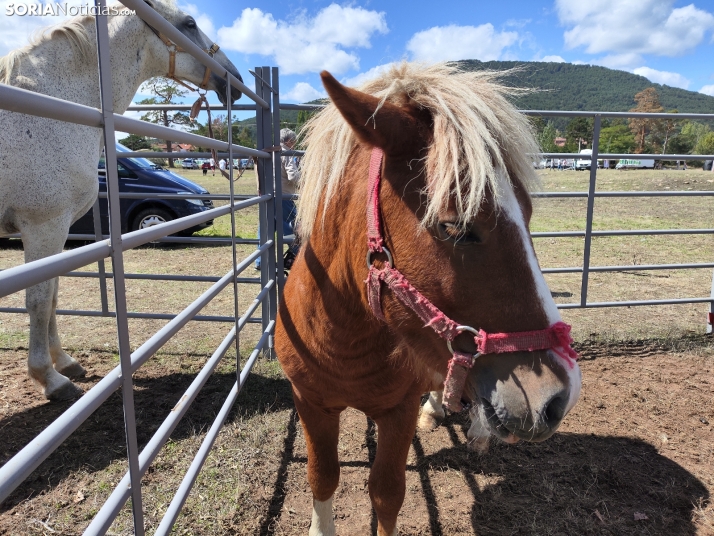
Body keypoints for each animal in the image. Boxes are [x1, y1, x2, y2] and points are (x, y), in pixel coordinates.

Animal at [0, 0, 242, 400]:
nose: (233, 79)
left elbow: (53, 295)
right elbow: (39, 299)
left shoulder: (55, 230)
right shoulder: (43, 224)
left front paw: (64, 362)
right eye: (189, 23)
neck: (49, 103)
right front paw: (49, 377)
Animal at [276, 63, 580, 536]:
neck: (342, 340)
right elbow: (321, 477)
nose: (557, 398)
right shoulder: (310, 402)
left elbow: (387, 493)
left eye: (528, 213)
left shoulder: (396, 413)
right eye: (455, 227)